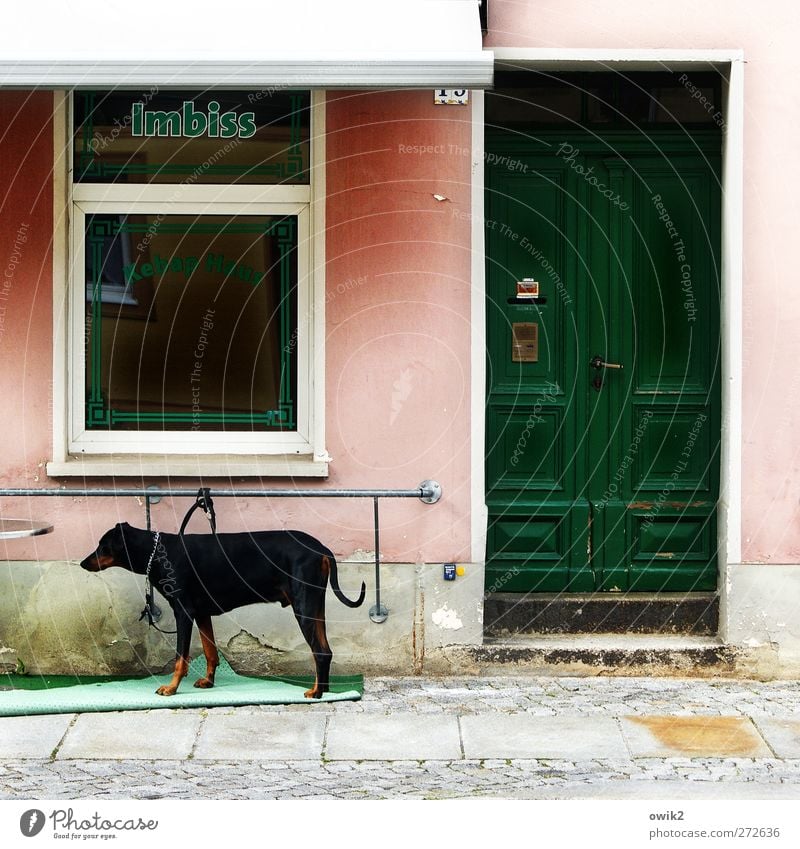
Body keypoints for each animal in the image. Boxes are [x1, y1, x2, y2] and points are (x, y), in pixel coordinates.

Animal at [79, 524, 364, 696]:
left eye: (103, 545)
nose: (82, 563)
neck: (158, 554)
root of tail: (322, 550)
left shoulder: (184, 613)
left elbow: (181, 658)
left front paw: (171, 688)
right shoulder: (202, 613)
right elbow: (210, 652)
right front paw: (208, 682)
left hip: (303, 606)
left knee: (319, 651)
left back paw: (316, 692)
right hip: (315, 606)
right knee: (326, 650)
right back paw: (324, 691)